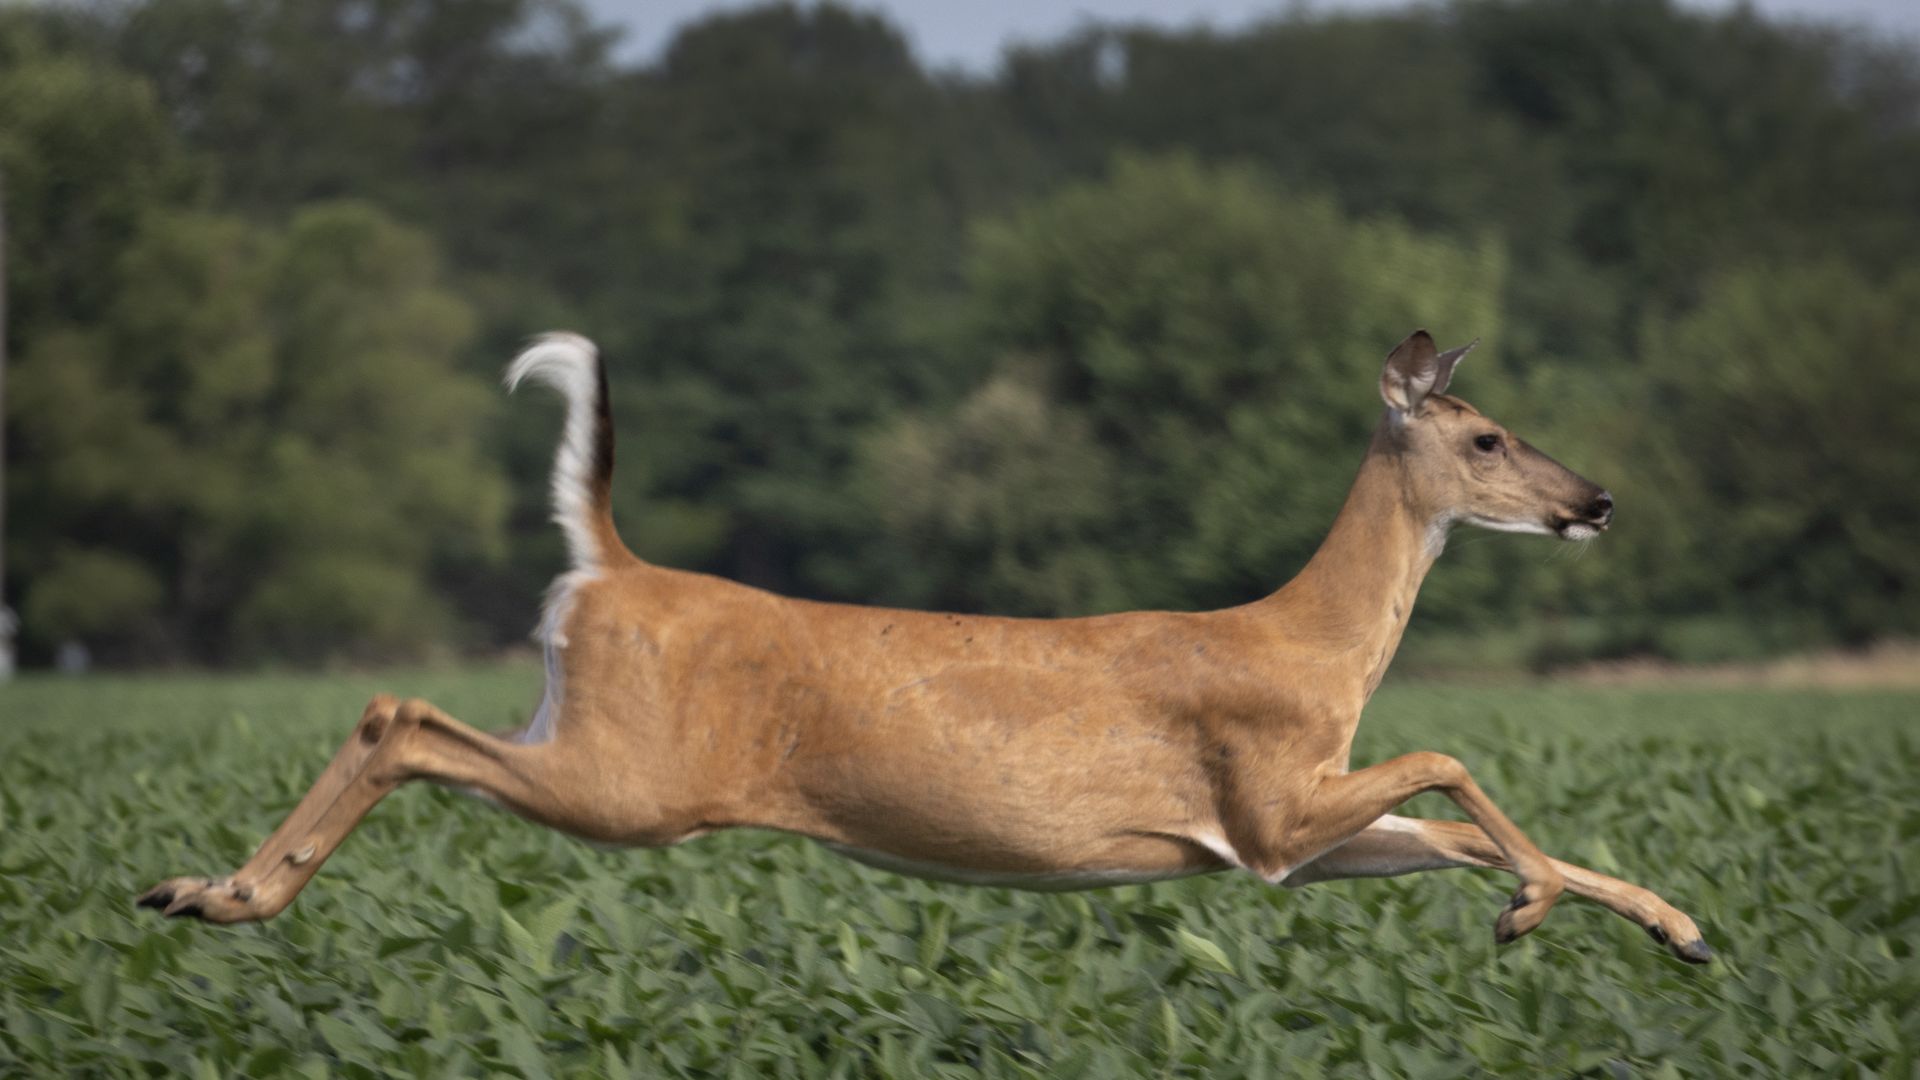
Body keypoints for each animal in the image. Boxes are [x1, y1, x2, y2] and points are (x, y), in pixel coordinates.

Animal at [138, 329, 1712, 964]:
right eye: (1487, 436)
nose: (1596, 500)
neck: (1311, 644)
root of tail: (611, 566)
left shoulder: (1276, 842)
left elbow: (1448, 829)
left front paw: (1672, 929)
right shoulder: (1268, 803)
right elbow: (1451, 760)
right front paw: (1540, 911)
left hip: (579, 736)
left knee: (400, 717)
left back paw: (196, 887)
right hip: (630, 781)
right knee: (398, 713)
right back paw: (228, 897)